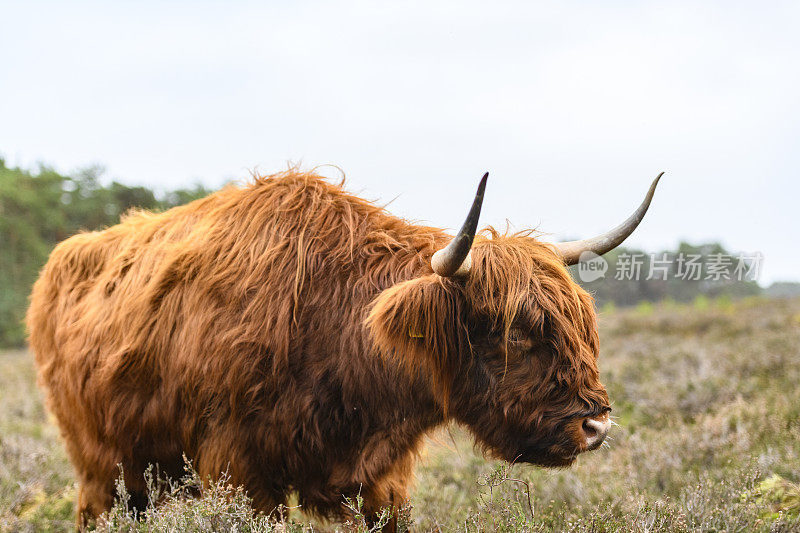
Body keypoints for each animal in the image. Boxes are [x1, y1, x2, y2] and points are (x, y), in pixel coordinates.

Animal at [26, 168, 664, 524]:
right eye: (516, 333)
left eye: (582, 327)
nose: (595, 426)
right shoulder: (240, 471)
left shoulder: (381, 483)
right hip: (100, 470)